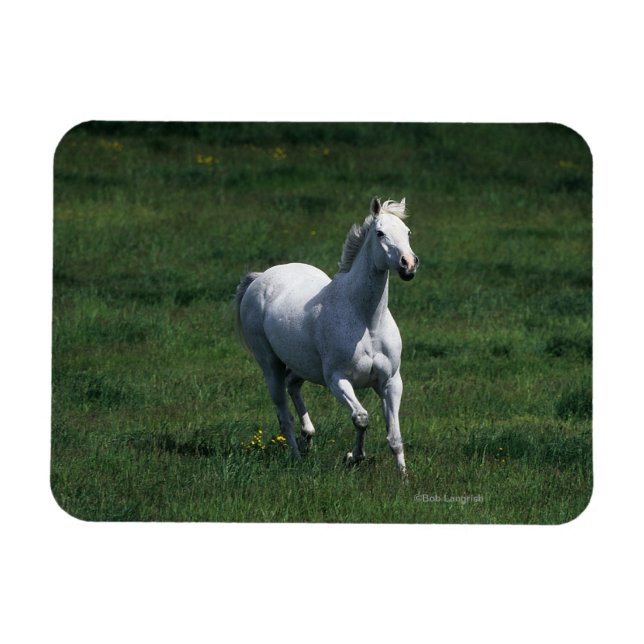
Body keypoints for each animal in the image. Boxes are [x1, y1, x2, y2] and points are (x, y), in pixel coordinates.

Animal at [234, 197, 419, 474]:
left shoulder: (391, 382)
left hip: (302, 365)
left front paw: (403, 475)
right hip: (270, 364)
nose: (409, 264)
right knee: (283, 413)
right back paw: (296, 455)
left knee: (293, 385)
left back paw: (308, 437)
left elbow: (395, 437)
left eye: (407, 232)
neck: (366, 321)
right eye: (380, 233)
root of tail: (260, 278)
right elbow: (361, 418)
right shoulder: (337, 379)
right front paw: (354, 456)